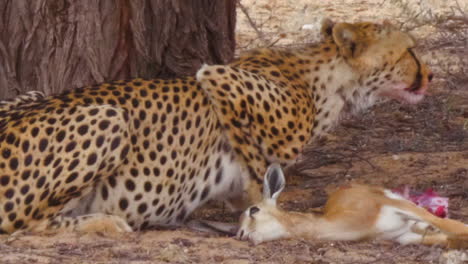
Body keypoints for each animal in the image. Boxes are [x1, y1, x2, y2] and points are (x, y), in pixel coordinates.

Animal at [0, 19, 432, 233]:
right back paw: (107, 222)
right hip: (108, 116)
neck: (330, 80)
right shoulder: (218, 76)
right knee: (24, 225)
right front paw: (264, 200)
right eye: (410, 51)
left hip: (32, 93)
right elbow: (253, 159)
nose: (430, 75)